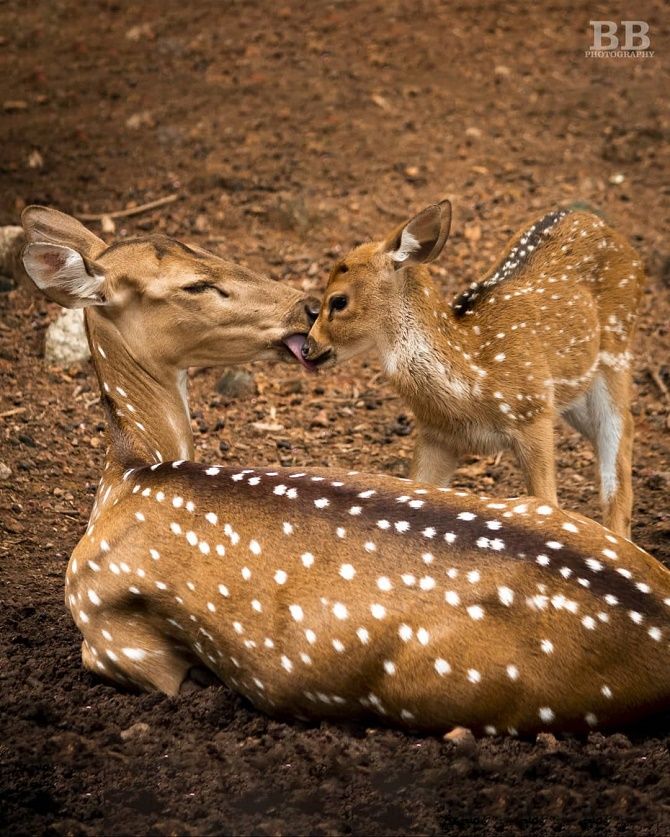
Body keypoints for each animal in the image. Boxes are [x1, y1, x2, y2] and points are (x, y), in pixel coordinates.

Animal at [304, 201, 644, 536]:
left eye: (338, 301)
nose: (308, 348)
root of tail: (596, 220)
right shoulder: (436, 435)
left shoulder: (532, 411)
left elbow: (547, 501)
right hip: (571, 391)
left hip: (616, 350)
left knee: (620, 431)